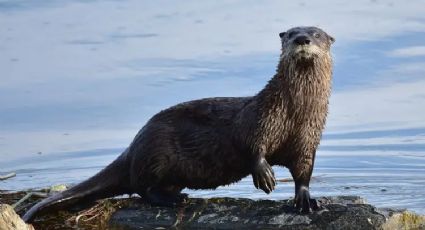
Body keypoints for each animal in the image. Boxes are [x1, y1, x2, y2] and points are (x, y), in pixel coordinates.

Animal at [22, 26, 334, 223]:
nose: (302, 39)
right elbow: (250, 144)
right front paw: (265, 175)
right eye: (290, 33)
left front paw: (306, 200)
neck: (294, 113)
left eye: (316, 33)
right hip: (157, 153)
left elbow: (303, 170)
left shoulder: (308, 138)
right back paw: (173, 199)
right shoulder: (260, 118)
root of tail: (134, 146)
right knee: (143, 188)